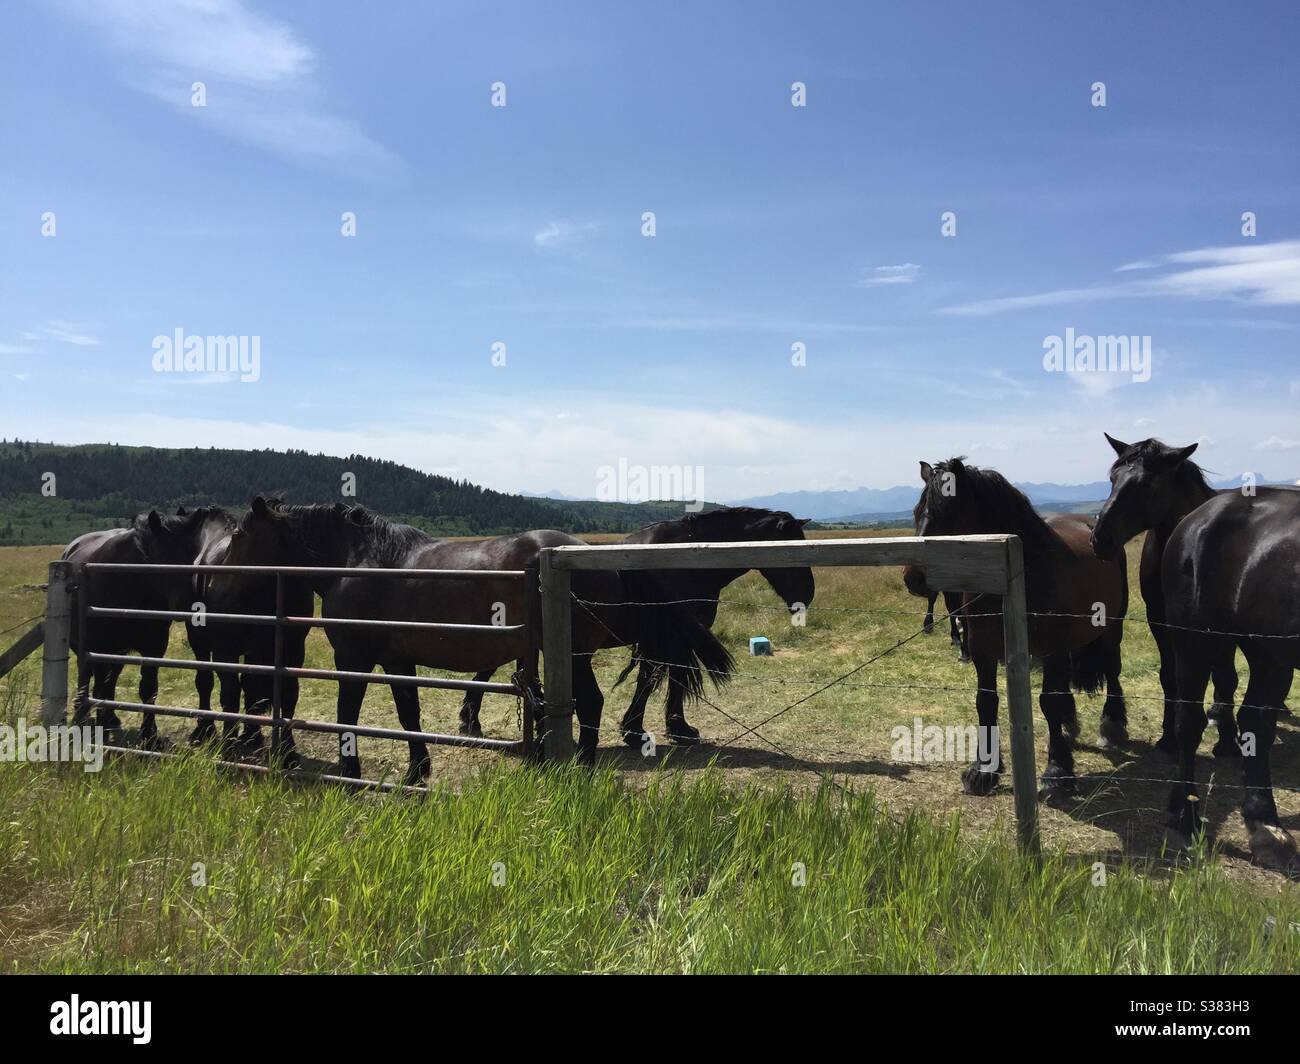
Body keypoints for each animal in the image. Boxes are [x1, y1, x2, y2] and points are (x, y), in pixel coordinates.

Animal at [219, 498, 733, 781]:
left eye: (241, 532)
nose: (216, 580)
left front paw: (351, 773)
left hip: (574, 653)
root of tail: (586, 553)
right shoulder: (397, 661)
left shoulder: (354, 658)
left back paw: (583, 767)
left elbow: (348, 716)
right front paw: (417, 771)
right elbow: (408, 715)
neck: (360, 561)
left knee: (591, 703)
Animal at [456, 507, 815, 747]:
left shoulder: (664, 639)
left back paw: (470, 721)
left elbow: (658, 678)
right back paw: (470, 720)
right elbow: (663, 679)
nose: (806, 596)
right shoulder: (667, 638)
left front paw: (647, 727)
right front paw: (660, 728)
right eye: (791, 551)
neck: (684, 560)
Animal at [902, 458, 1129, 795]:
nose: (914, 578)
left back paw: (1112, 726)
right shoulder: (983, 649)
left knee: (1112, 669)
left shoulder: (1052, 647)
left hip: (1112, 627)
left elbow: (1049, 701)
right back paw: (1069, 725)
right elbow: (986, 701)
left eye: (947, 511)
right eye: (917, 513)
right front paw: (984, 769)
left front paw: (1057, 770)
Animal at [1089, 435, 1241, 758]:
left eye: (1146, 484)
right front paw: (1169, 738)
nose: (1099, 539)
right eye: (1113, 479)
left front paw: (1227, 742)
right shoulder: (1160, 621)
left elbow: (1225, 676)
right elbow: (1169, 677)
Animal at [1160, 485, 1300, 870]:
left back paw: (1264, 824)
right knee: (1189, 723)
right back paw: (1186, 816)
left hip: (1266, 650)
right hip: (1194, 641)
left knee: (1255, 722)